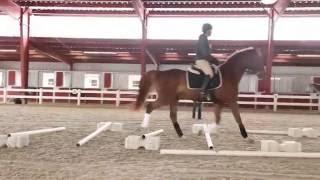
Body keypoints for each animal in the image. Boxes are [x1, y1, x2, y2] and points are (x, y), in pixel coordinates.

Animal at [134, 47, 264, 139]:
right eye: (257, 59)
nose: (263, 72)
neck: (229, 74)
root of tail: (161, 73)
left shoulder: (219, 103)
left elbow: (217, 120)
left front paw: (203, 131)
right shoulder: (231, 101)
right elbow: (238, 118)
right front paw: (246, 136)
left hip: (173, 99)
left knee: (172, 116)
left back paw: (181, 135)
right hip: (165, 98)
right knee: (150, 106)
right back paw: (144, 127)